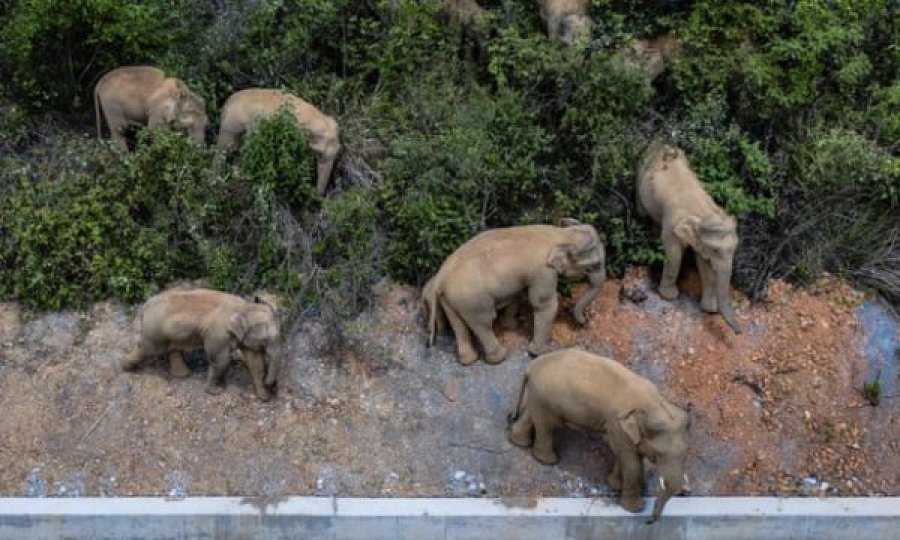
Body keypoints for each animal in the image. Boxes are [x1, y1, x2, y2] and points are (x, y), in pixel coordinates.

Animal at [120, 288, 282, 398]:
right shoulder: (218, 334)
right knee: (147, 349)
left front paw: (263, 397)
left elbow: (255, 363)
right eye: (264, 341)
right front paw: (216, 391)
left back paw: (183, 375)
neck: (244, 307)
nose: (272, 386)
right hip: (154, 331)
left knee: (172, 348)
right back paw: (125, 367)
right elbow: (222, 361)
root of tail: (145, 305)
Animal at [422, 217, 604, 364]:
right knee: (484, 323)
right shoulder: (543, 271)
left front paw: (512, 326)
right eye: (592, 267)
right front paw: (539, 353)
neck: (561, 234)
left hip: (450, 299)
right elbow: (544, 304)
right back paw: (499, 357)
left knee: (459, 325)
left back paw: (468, 361)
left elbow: (517, 295)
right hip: (472, 301)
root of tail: (440, 278)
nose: (584, 322)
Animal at [506, 348, 688, 520]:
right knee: (547, 425)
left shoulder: (621, 429)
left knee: (533, 415)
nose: (649, 521)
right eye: (659, 455)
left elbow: (623, 455)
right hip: (546, 397)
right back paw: (548, 461)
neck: (654, 404)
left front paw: (614, 485)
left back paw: (519, 442)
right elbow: (632, 464)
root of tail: (532, 365)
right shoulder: (617, 424)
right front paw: (635, 509)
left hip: (540, 396)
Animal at [636, 139, 740, 334]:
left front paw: (710, 309)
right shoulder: (672, 223)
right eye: (716, 250)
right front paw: (669, 296)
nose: (739, 332)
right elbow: (674, 253)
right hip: (639, 178)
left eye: (734, 250)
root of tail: (661, 142)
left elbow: (704, 264)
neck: (702, 211)